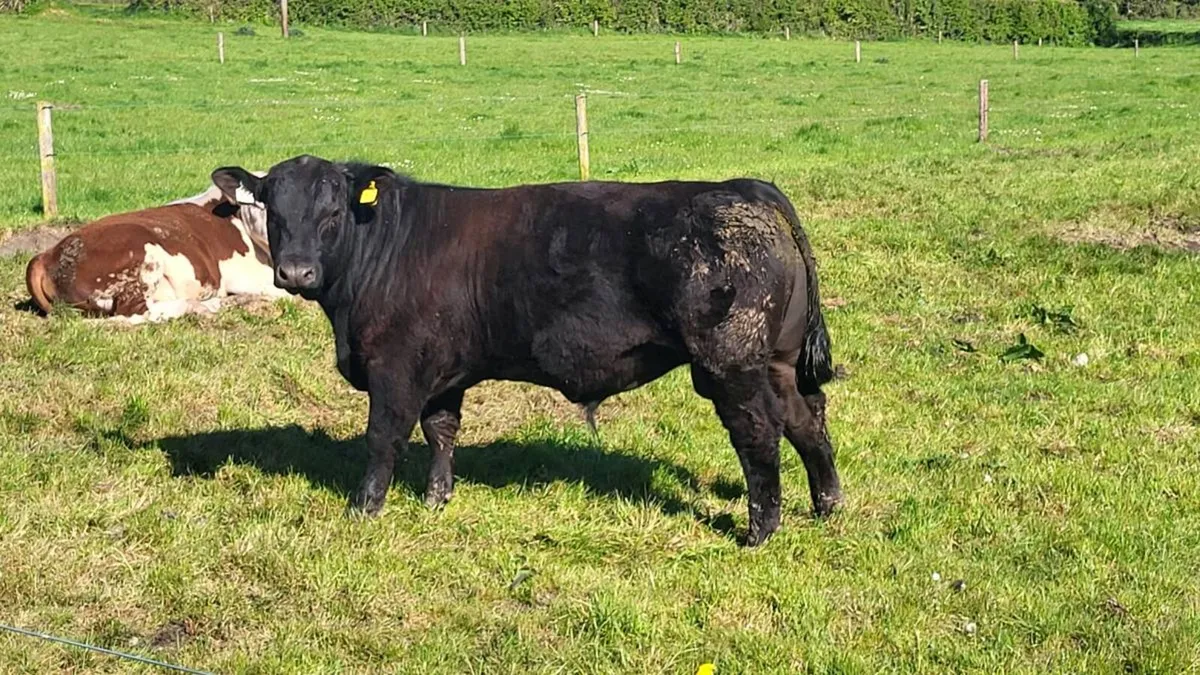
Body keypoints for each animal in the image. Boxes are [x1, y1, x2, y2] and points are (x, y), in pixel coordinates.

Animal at [211, 155, 842, 546]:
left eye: (332, 211)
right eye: (272, 211)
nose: (295, 272)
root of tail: (739, 187)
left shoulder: (395, 367)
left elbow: (384, 437)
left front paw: (364, 508)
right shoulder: (444, 372)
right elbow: (441, 431)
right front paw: (437, 499)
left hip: (729, 364)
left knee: (758, 433)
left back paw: (760, 531)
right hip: (778, 362)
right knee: (806, 421)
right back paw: (827, 505)